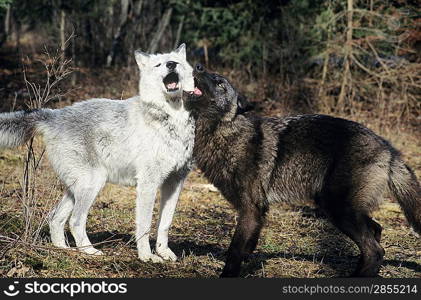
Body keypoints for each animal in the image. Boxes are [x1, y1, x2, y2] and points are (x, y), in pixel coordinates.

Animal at [0, 43, 197, 262]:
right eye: (159, 65)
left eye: (175, 62)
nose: (171, 65)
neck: (172, 117)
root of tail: (54, 114)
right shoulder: (148, 183)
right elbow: (145, 225)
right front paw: (147, 256)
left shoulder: (175, 182)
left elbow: (165, 224)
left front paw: (164, 252)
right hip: (93, 183)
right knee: (75, 221)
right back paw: (90, 251)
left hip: (76, 189)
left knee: (55, 218)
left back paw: (64, 250)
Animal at [185, 64, 418, 278]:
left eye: (220, 83)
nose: (197, 66)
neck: (224, 132)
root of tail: (388, 148)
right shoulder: (257, 212)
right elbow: (247, 248)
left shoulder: (251, 208)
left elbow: (234, 251)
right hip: (343, 209)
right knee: (377, 231)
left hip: (338, 209)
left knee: (375, 250)